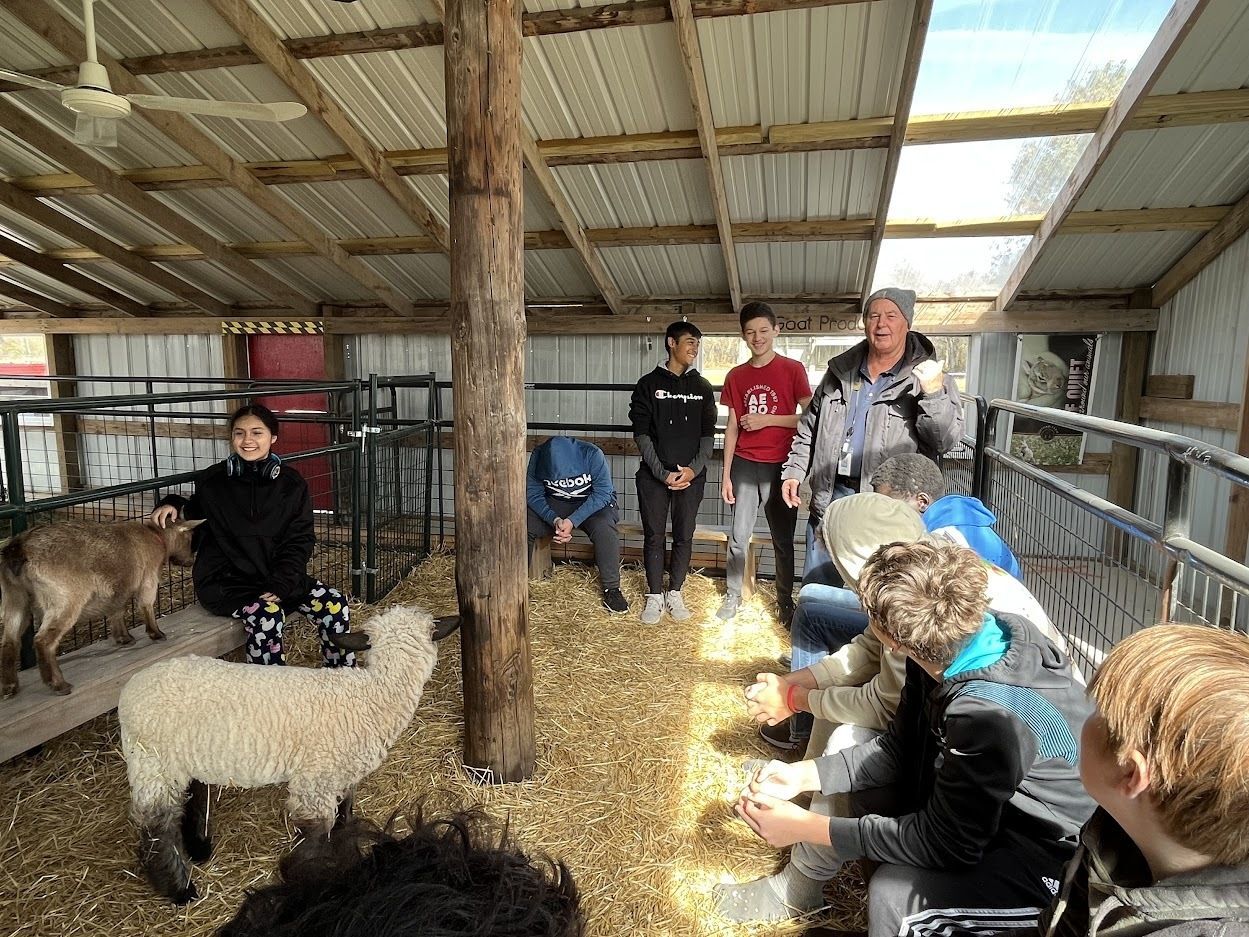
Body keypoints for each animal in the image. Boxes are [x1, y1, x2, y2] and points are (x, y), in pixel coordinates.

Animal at [0, 517, 202, 699]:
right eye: (190, 538)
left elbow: (117, 609)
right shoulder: (148, 578)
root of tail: (19, 548)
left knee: (10, 640)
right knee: (42, 640)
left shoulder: (118, 589)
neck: (156, 536)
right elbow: (146, 604)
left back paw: (10, 687)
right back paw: (59, 685)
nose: (191, 561)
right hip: (64, 598)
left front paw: (124, 638)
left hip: (14, 597)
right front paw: (157, 634)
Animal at [116, 604, 459, 904]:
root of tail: (130, 689)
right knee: (157, 829)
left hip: (184, 758)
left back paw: (198, 847)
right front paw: (309, 878)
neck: (374, 697)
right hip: (152, 762)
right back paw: (179, 889)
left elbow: (345, 813)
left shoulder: (342, 772)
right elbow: (315, 835)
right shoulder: (315, 781)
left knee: (191, 797)